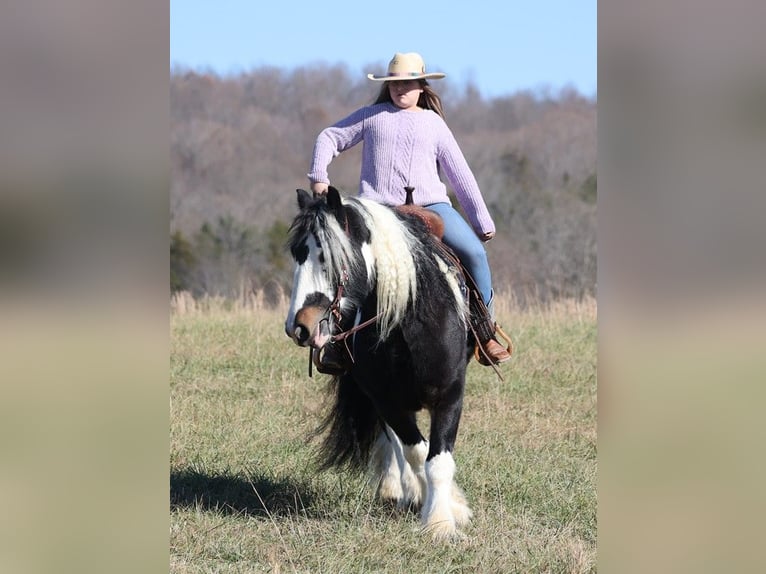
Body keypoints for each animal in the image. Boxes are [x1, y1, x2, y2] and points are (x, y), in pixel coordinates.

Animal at [284, 187, 474, 544]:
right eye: (297, 254)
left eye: (329, 257)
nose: (299, 327)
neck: (408, 326)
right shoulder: (386, 400)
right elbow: (416, 453)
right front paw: (436, 507)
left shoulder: (449, 396)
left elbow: (438, 461)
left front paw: (443, 521)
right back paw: (397, 489)